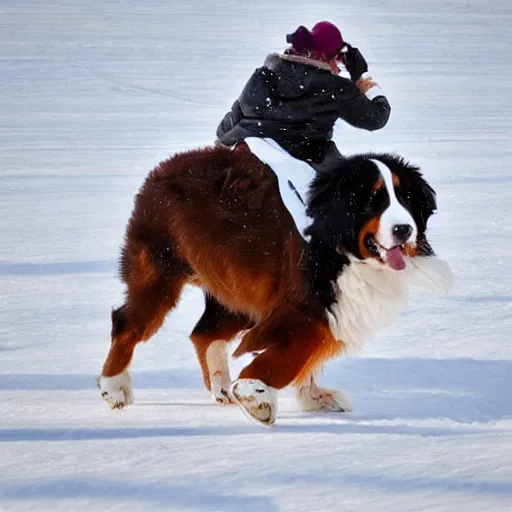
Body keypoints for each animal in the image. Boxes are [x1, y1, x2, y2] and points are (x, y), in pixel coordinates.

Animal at [97, 142, 452, 426]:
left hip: (233, 285)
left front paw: (312, 398)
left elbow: (307, 358)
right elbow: (294, 353)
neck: (337, 244)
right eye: (372, 200)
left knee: (204, 333)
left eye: (405, 198)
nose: (405, 229)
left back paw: (221, 386)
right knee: (127, 322)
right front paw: (255, 395)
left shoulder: (323, 306)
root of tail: (164, 167)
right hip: (159, 272)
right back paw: (115, 386)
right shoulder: (304, 306)